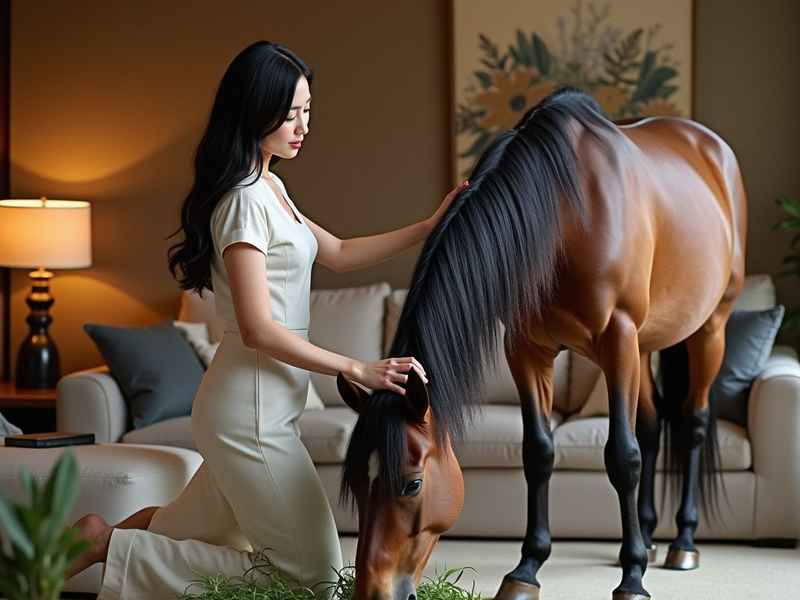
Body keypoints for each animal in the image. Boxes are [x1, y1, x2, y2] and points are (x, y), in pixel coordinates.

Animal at [336, 87, 747, 600]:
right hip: (646, 343)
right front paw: (527, 568)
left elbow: (622, 457)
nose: (374, 591)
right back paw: (650, 537)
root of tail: (711, 148)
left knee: (692, 422)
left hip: (708, 328)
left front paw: (632, 578)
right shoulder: (527, 350)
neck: (567, 216)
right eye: (354, 480)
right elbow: (539, 452)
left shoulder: (617, 341)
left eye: (411, 484)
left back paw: (682, 543)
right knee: (652, 428)